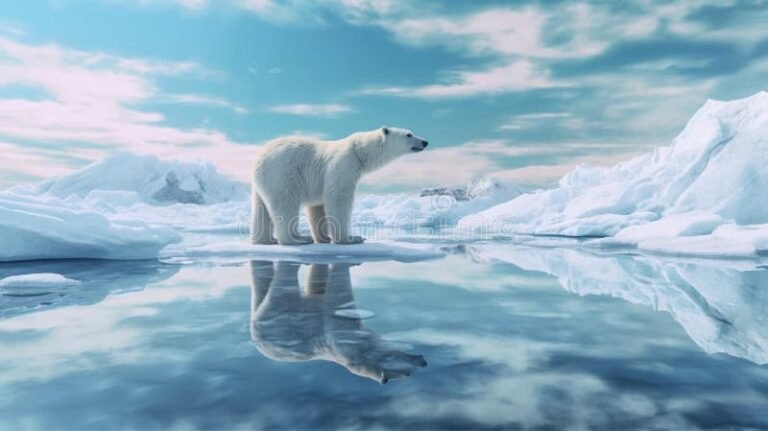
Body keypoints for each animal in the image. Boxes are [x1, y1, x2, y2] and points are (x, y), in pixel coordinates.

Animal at [250, 127, 429, 245]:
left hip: (264, 180)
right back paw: (296, 239)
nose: (425, 142)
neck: (359, 152)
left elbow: (318, 207)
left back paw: (265, 240)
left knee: (261, 208)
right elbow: (339, 199)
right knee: (285, 203)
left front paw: (325, 238)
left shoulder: (320, 181)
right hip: (283, 172)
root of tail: (260, 157)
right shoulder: (344, 165)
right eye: (409, 134)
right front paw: (351, 238)